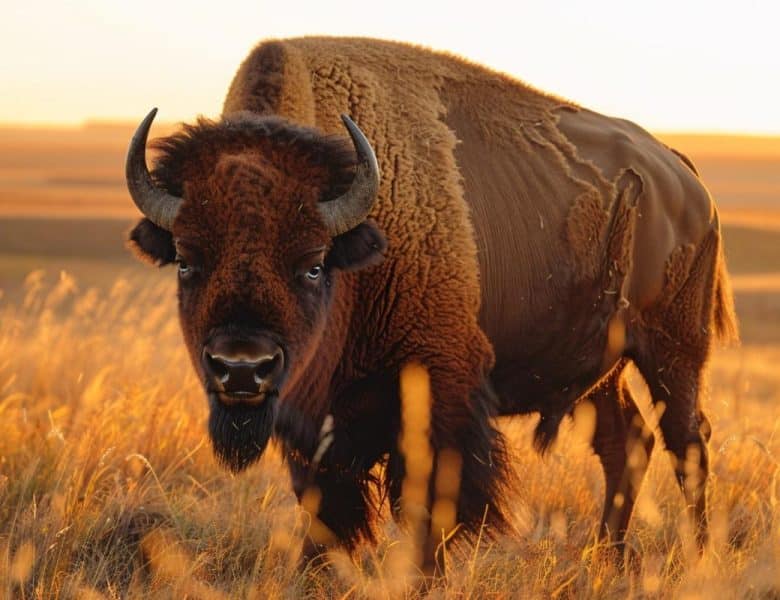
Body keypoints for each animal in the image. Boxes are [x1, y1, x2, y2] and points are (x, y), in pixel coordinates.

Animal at [126, 37, 738, 570]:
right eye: (186, 261)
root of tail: (684, 177)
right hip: (601, 370)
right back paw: (605, 558)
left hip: (674, 351)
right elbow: (324, 508)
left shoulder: (437, 392)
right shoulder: (311, 423)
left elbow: (428, 506)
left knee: (687, 441)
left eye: (313, 263)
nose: (241, 369)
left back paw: (697, 557)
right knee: (626, 443)